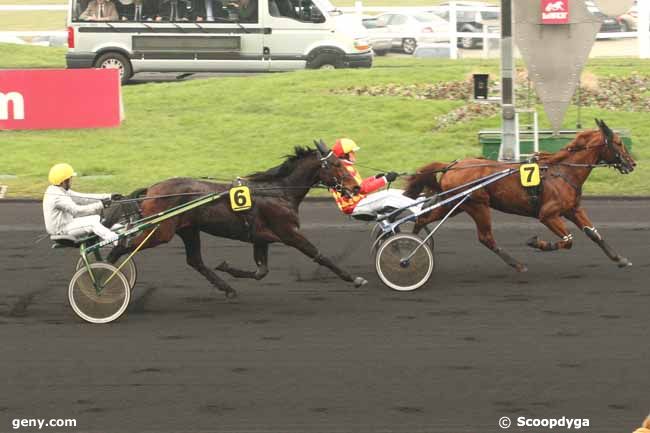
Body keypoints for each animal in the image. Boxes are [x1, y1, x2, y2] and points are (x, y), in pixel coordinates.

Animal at [102, 142, 364, 296]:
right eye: (336, 164)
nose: (356, 186)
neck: (278, 191)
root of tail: (151, 190)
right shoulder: (288, 232)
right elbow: (320, 255)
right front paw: (354, 278)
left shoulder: (261, 238)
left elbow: (261, 271)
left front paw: (228, 268)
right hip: (160, 232)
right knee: (124, 246)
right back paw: (105, 274)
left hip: (188, 229)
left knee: (194, 260)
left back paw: (226, 288)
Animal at [402, 118, 636, 272]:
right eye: (618, 143)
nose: (632, 163)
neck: (563, 171)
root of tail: (452, 165)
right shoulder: (548, 215)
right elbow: (568, 240)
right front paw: (536, 242)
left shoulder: (573, 209)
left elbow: (594, 234)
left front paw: (620, 259)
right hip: (477, 205)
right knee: (486, 237)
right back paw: (517, 264)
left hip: (455, 205)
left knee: (422, 218)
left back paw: (410, 246)